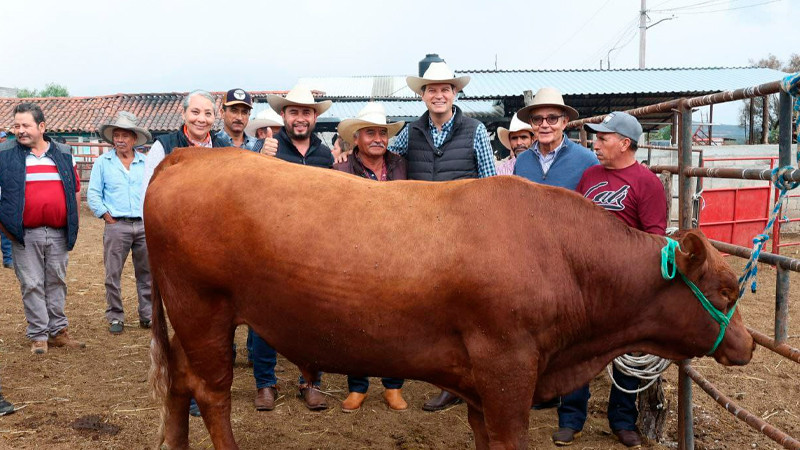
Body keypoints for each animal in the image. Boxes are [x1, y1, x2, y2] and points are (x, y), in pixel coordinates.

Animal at [147, 149, 752, 450]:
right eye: (726, 289)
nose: (747, 344)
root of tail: (191, 153)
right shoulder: (509, 368)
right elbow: (509, 441)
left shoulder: (484, 381)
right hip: (204, 308)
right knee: (210, 392)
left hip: (188, 316)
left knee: (177, 380)